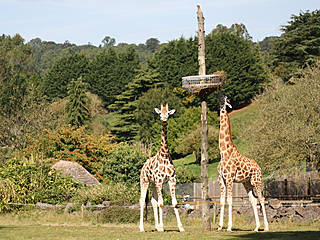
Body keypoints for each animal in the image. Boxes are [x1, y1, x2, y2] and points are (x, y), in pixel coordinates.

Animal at [139, 103, 184, 232]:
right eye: (160, 113)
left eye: (168, 113)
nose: (164, 119)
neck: (165, 155)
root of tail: (143, 166)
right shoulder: (159, 181)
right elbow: (161, 203)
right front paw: (162, 226)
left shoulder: (171, 180)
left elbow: (174, 203)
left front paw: (181, 227)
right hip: (145, 181)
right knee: (142, 201)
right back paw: (142, 228)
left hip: (153, 184)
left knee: (153, 201)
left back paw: (156, 226)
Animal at [216, 93, 268, 232]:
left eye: (225, 99)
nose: (219, 94)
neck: (224, 152)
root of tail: (259, 167)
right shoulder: (221, 179)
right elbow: (222, 201)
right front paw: (219, 226)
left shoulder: (229, 178)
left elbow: (229, 200)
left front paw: (229, 227)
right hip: (247, 183)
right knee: (253, 200)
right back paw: (256, 227)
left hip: (257, 180)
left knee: (262, 198)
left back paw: (266, 227)